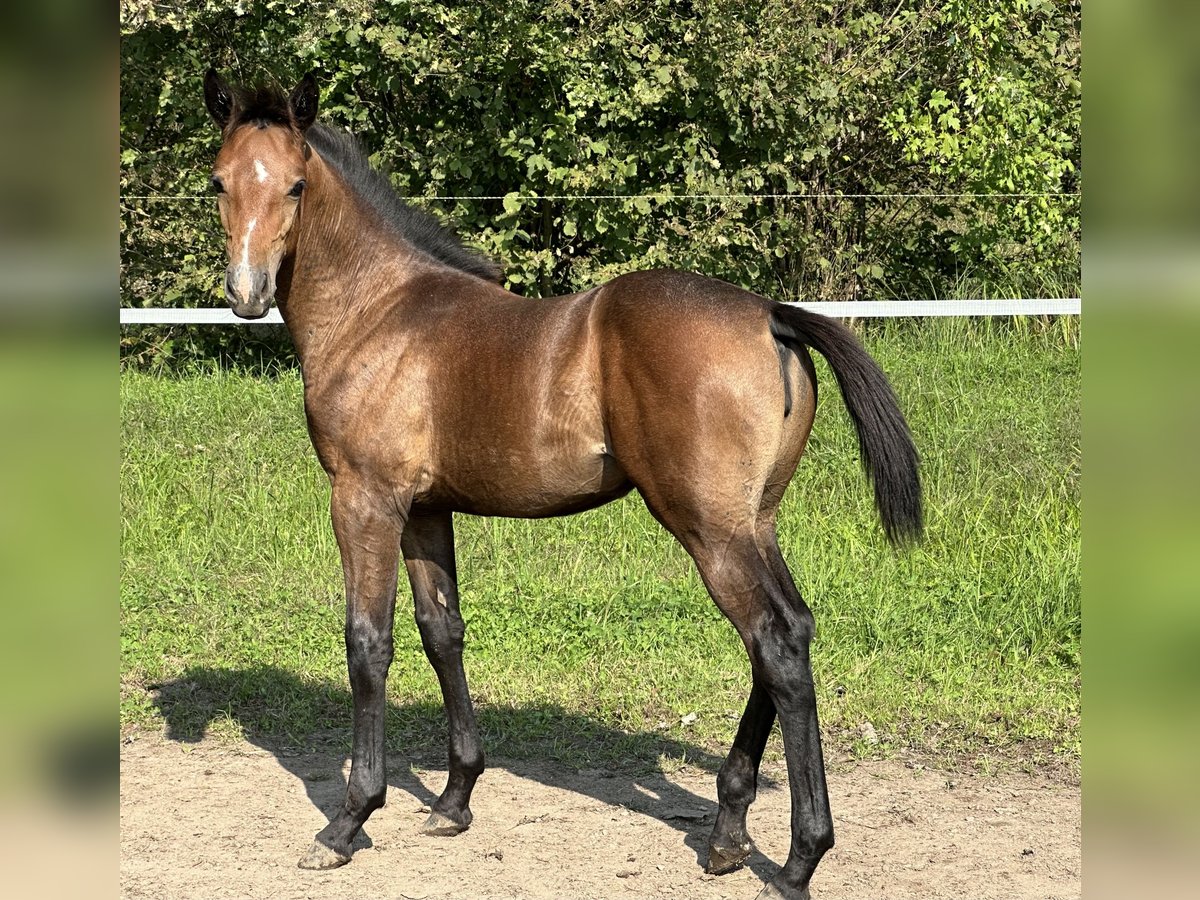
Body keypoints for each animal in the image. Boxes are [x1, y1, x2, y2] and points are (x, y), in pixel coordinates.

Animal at [204, 68, 916, 900]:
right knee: (786, 635)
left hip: (707, 527)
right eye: (219, 180)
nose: (247, 293)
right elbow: (443, 631)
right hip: (751, 522)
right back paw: (727, 834)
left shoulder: (364, 500)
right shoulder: (426, 509)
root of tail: (769, 315)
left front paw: (348, 821)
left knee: (774, 642)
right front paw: (454, 800)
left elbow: (367, 643)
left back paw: (800, 857)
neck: (375, 312)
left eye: (294, 184)